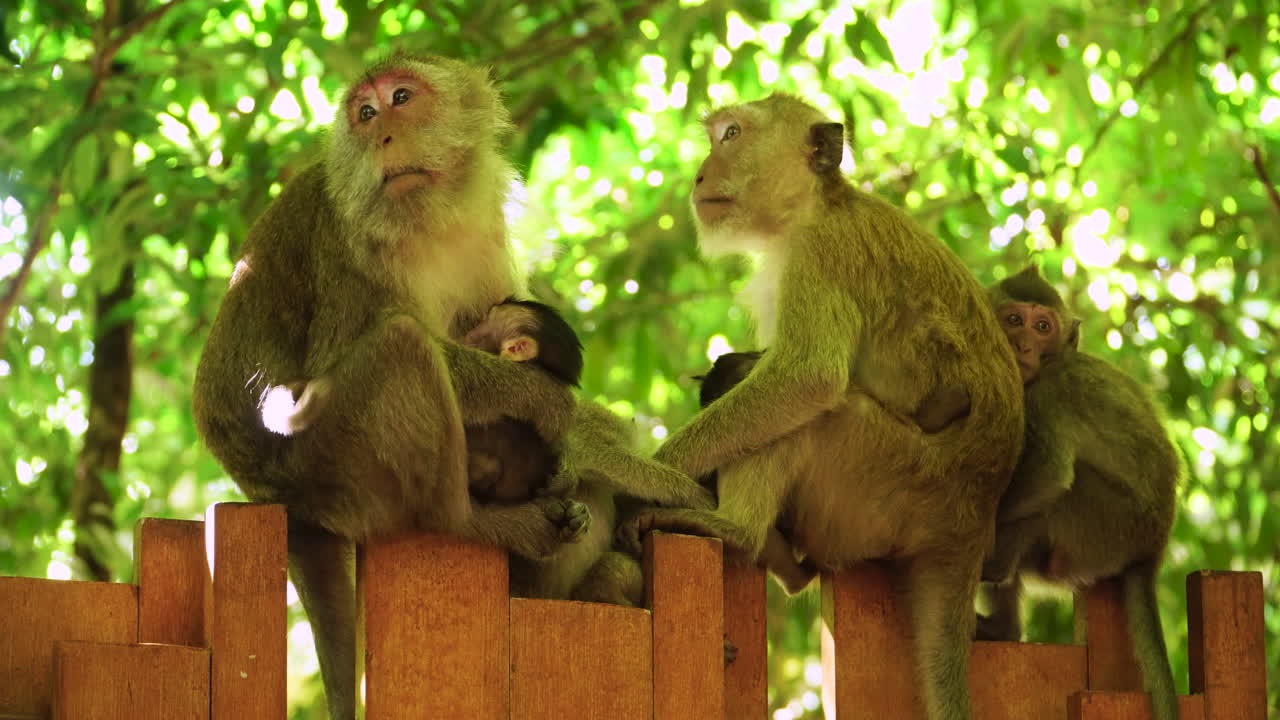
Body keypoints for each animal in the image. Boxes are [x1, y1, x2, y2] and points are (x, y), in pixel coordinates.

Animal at [192, 53, 596, 720]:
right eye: (364, 112)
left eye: (401, 98)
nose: (381, 134)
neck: (426, 223)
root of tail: (275, 500)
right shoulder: (348, 250)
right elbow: (305, 389)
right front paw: (544, 401)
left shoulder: (482, 231)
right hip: (333, 471)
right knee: (401, 346)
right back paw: (465, 521)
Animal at [618, 94, 1024, 720]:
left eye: (732, 135)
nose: (700, 175)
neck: (816, 207)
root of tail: (972, 524)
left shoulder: (819, 257)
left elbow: (804, 381)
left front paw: (655, 471)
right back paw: (781, 559)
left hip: (884, 485)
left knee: (809, 419)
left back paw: (735, 529)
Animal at [976, 265, 1181, 720]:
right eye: (1013, 319)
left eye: (1042, 326)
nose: (1023, 344)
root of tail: (1153, 549)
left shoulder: (1049, 394)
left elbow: (1050, 474)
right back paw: (1002, 626)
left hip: (1106, 527)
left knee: (1058, 497)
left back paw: (992, 568)